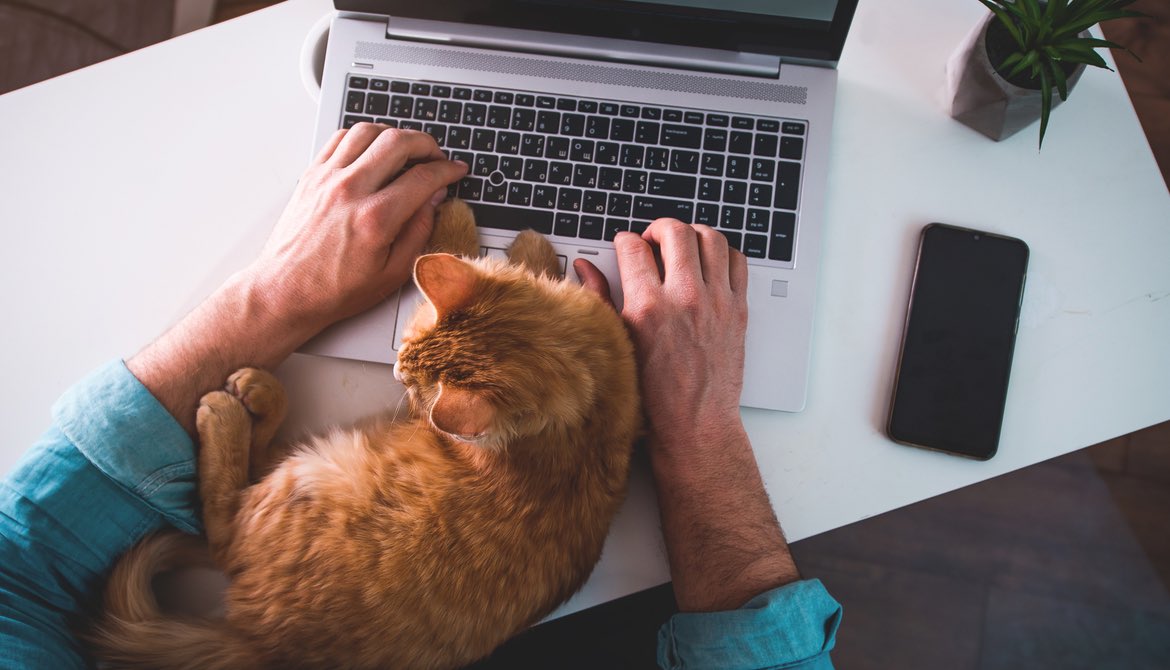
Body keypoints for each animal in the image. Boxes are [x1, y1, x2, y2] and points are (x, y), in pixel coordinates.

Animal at [90, 201, 641, 668]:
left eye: (414, 386)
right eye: (404, 345)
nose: (396, 370)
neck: (586, 409)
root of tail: (261, 642)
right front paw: (524, 243)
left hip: (312, 474)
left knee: (222, 521)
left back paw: (232, 406)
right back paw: (258, 392)